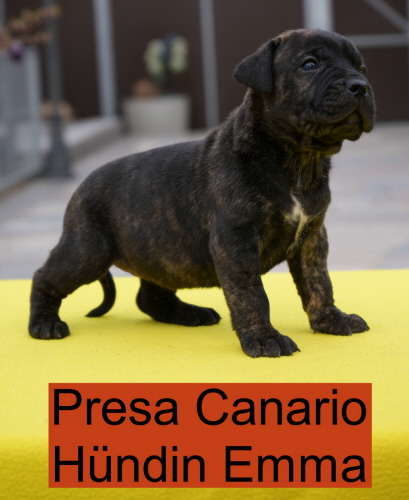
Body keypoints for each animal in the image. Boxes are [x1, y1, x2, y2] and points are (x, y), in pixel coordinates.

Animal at [29, 29, 375, 358]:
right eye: (310, 65)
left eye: (361, 68)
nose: (360, 86)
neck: (299, 161)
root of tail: (81, 186)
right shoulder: (236, 241)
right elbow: (251, 293)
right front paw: (264, 339)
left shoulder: (312, 236)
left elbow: (319, 282)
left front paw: (331, 319)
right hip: (87, 250)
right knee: (44, 276)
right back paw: (44, 323)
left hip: (156, 255)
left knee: (149, 295)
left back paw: (189, 313)